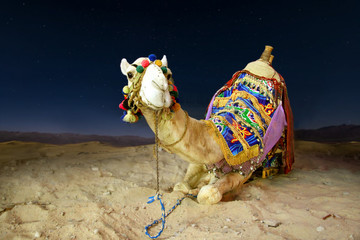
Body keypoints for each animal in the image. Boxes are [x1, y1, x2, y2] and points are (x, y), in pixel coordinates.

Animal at [119, 46, 294, 204]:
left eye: (168, 74)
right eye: (130, 74)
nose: (160, 88)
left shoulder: (247, 167)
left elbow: (209, 192)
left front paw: (203, 189)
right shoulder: (199, 162)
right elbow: (181, 184)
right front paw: (191, 187)